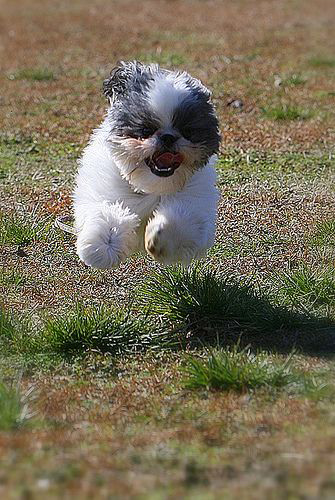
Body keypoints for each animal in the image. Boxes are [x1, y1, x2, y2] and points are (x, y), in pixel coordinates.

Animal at [73, 61, 220, 270]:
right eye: (145, 130)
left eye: (187, 131)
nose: (168, 137)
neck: (152, 185)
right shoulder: (105, 193)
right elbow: (107, 215)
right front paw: (102, 247)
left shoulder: (195, 202)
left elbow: (185, 222)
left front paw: (162, 238)